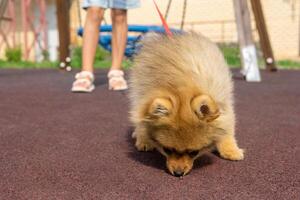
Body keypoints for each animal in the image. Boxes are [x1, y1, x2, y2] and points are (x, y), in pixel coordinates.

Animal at [129, 32, 244, 177]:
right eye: (167, 149)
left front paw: (230, 150)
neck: (182, 90)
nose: (178, 173)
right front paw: (144, 138)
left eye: (194, 152)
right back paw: (142, 138)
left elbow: (227, 130)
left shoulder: (224, 105)